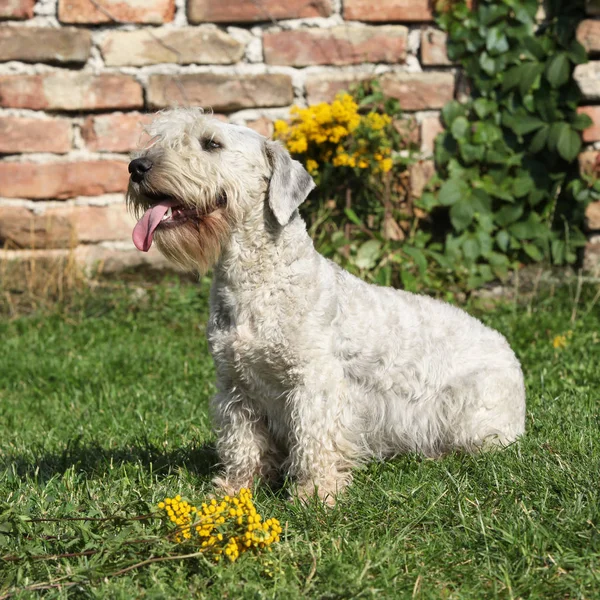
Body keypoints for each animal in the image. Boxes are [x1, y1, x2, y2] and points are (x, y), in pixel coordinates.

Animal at [126, 110, 524, 504]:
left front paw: (315, 494)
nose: (136, 167)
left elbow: (315, 439)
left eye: (212, 143)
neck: (258, 282)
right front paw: (235, 490)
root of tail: (513, 359)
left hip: (474, 410)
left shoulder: (314, 382)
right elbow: (243, 444)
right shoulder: (235, 387)